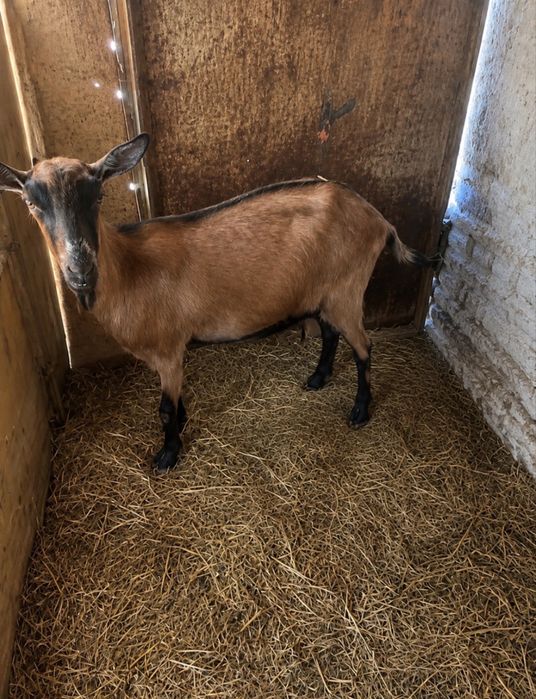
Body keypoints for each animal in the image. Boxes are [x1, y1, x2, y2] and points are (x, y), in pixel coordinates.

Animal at [0, 133, 434, 472]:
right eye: (32, 204)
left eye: (99, 194)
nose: (80, 269)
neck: (129, 269)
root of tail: (380, 220)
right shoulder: (169, 355)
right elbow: (175, 401)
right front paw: (181, 425)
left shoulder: (167, 349)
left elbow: (163, 408)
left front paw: (168, 455)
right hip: (324, 293)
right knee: (330, 334)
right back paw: (318, 378)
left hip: (348, 288)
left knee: (364, 347)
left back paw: (360, 412)